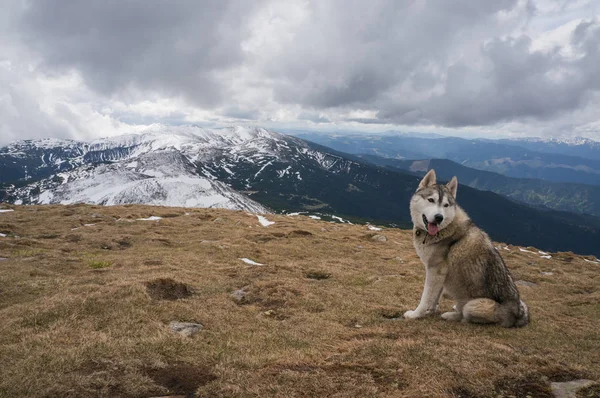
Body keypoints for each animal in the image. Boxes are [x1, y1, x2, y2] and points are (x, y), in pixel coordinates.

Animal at [406, 168, 528, 326]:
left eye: (446, 205)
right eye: (431, 200)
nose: (439, 217)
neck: (444, 229)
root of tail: (518, 315)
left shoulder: (435, 271)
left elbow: (425, 298)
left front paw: (416, 314)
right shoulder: (440, 275)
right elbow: (434, 298)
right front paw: (430, 312)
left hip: (473, 305)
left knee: (465, 315)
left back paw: (451, 315)